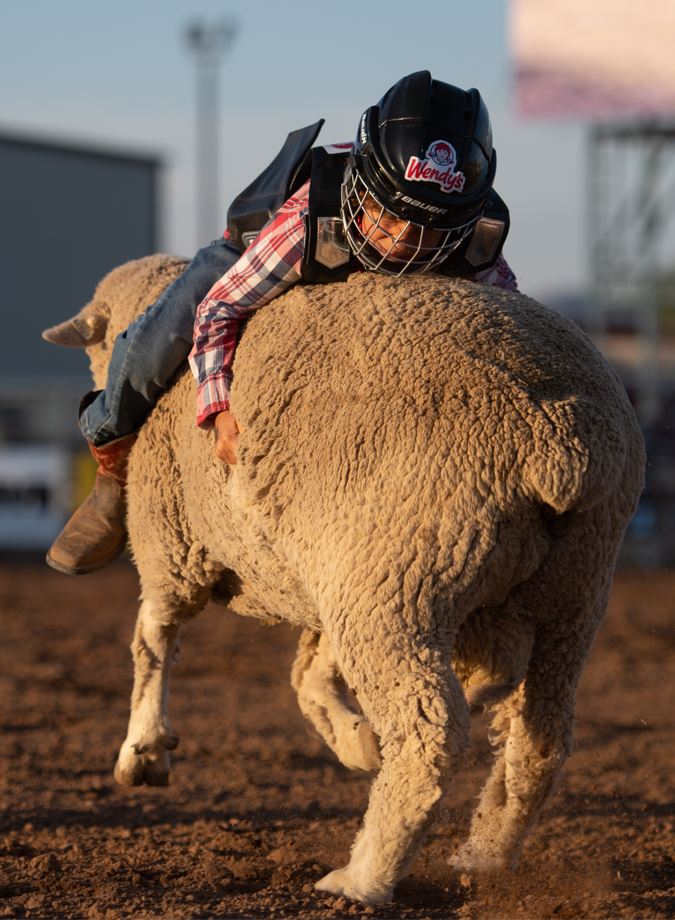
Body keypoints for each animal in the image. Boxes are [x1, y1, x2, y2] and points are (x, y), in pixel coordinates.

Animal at [45, 253, 648, 904]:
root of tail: (559, 442)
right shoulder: (329, 571)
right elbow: (307, 673)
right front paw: (355, 739)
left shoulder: (172, 543)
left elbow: (153, 641)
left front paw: (143, 750)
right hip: (567, 594)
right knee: (539, 738)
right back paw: (482, 854)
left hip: (399, 582)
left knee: (430, 732)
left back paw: (364, 876)